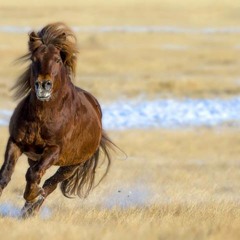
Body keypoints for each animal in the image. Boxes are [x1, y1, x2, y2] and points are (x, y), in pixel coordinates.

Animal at [0, 22, 115, 218]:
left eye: (57, 60)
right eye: (34, 59)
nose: (43, 85)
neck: (41, 116)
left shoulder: (54, 150)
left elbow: (34, 176)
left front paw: (33, 194)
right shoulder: (15, 142)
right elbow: (5, 175)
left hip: (71, 166)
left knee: (49, 184)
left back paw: (32, 209)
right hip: (35, 157)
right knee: (38, 176)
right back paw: (27, 211)